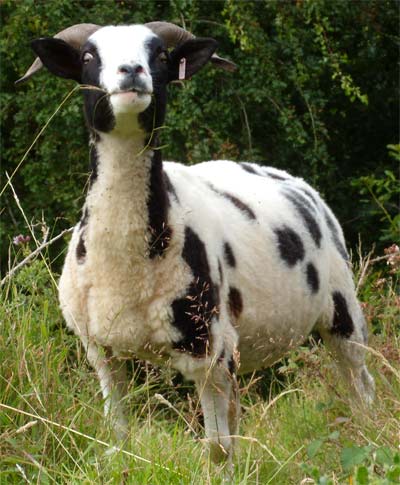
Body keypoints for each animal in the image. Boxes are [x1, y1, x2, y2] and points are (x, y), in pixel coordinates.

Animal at [18, 21, 376, 462]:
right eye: (88, 56)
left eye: (161, 55)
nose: (131, 71)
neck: (128, 266)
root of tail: (297, 183)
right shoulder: (102, 353)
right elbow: (118, 438)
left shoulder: (208, 352)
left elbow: (217, 449)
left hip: (343, 312)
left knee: (360, 385)